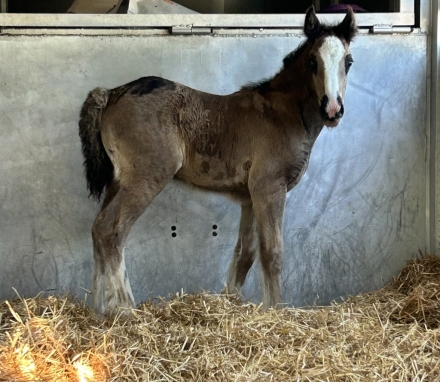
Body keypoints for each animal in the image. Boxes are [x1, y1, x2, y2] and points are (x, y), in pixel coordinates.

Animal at [80, 7, 358, 314]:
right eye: (311, 61)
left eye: (348, 62)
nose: (332, 109)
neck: (284, 114)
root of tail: (111, 94)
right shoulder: (270, 187)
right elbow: (272, 252)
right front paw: (275, 310)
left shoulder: (250, 195)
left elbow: (246, 252)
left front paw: (231, 300)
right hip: (146, 177)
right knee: (111, 231)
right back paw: (126, 309)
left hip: (118, 181)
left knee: (97, 231)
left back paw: (100, 310)